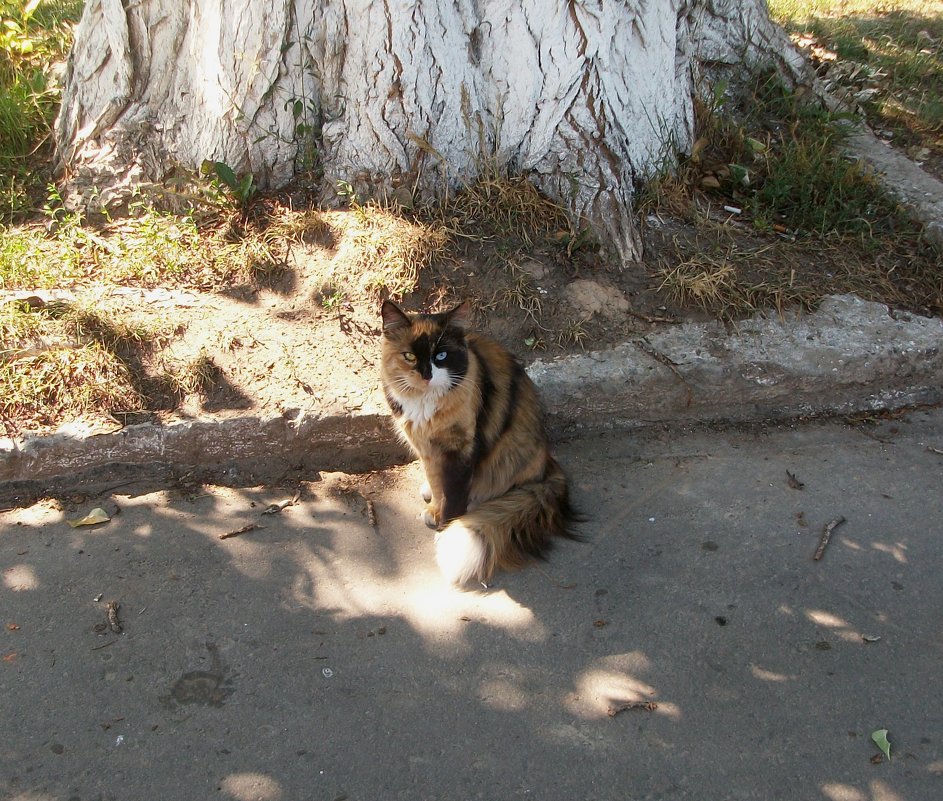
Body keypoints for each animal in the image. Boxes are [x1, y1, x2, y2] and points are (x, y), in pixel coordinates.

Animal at [382, 298, 576, 580]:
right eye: (410, 356)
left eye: (441, 356)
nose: (427, 375)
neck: (424, 402)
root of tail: (548, 464)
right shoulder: (425, 445)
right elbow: (436, 481)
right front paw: (434, 508)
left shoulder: (460, 450)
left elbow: (452, 495)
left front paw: (445, 525)